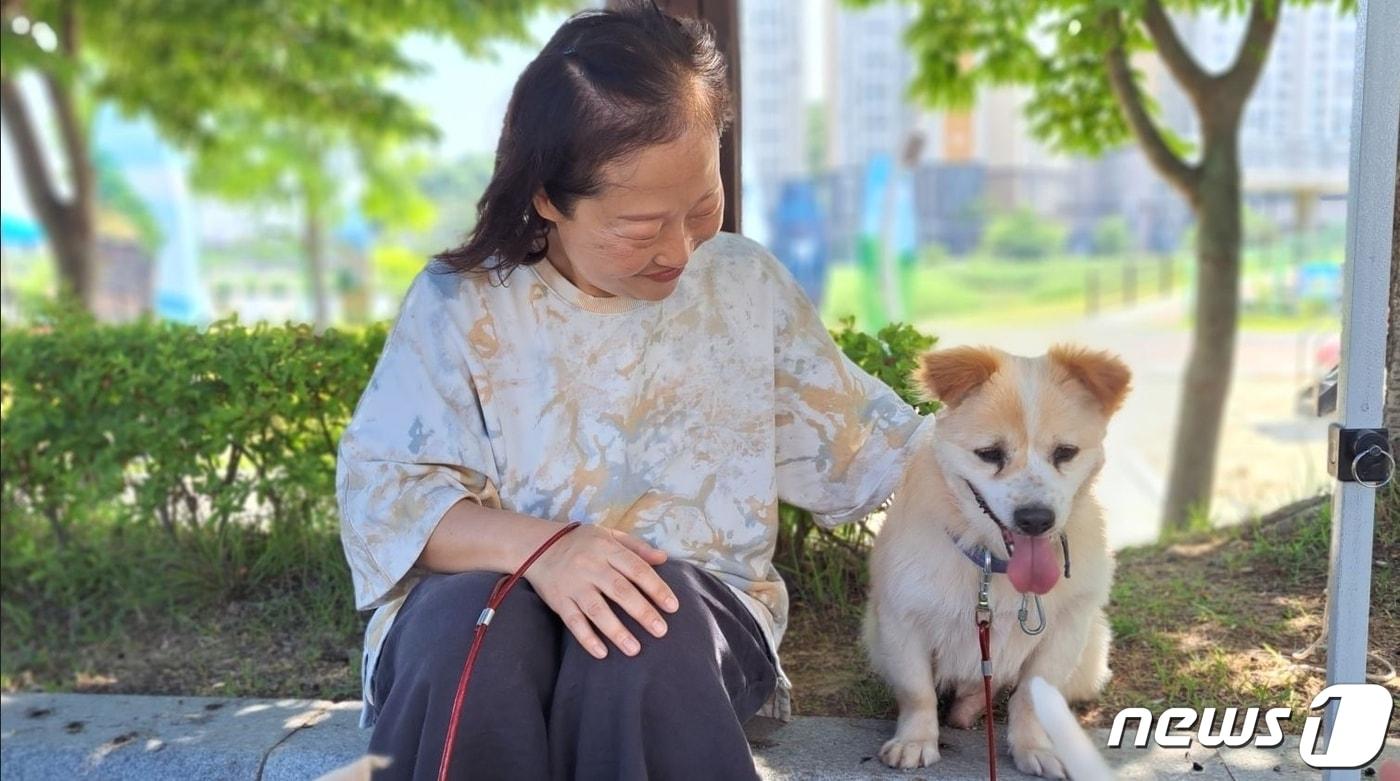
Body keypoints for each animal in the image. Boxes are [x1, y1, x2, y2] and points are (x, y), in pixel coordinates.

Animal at [862, 345, 1125, 778]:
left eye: (1065, 453)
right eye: (989, 454)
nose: (1035, 519)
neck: (993, 563)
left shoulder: (1065, 631)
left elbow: (1031, 698)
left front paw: (1034, 747)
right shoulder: (901, 622)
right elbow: (917, 691)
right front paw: (916, 742)